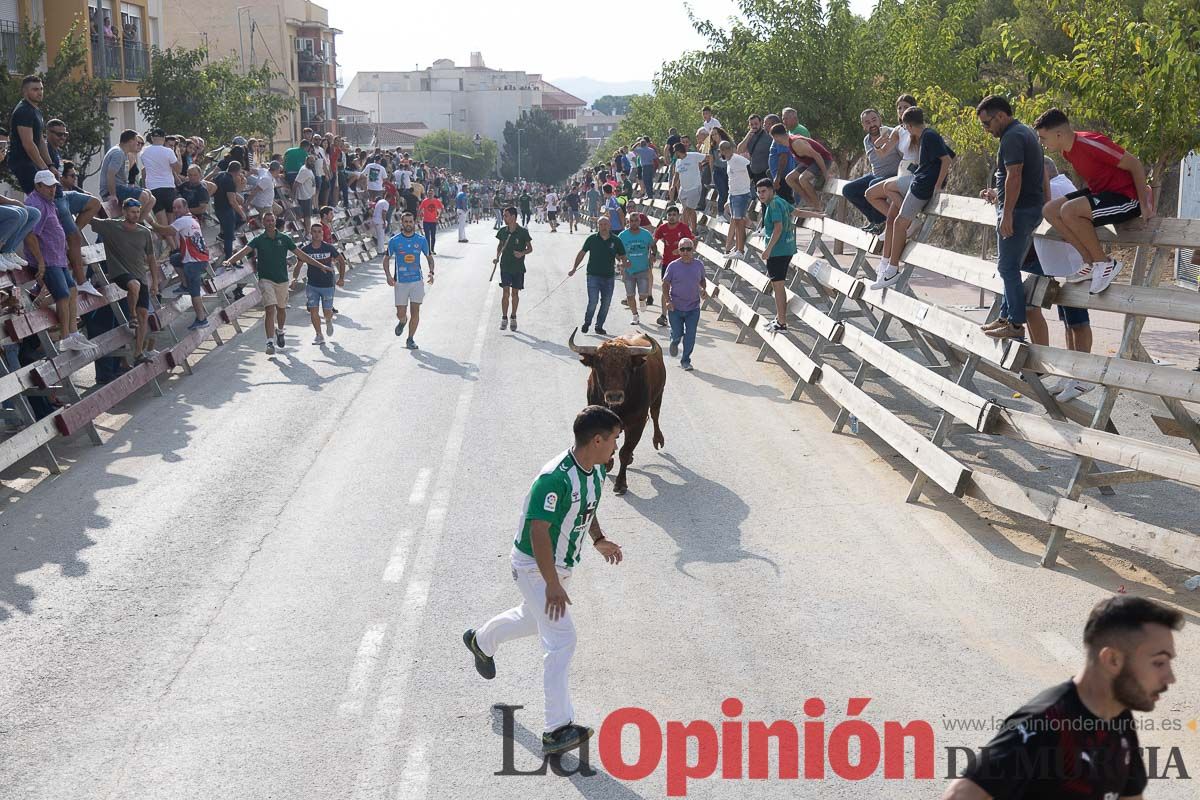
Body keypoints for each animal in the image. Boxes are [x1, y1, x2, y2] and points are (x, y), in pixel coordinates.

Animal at [568, 326, 667, 494]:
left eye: (626, 366)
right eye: (599, 366)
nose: (614, 395)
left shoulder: (637, 423)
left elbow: (624, 452)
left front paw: (621, 483)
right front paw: (608, 463)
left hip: (659, 394)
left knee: (655, 415)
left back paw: (658, 439)